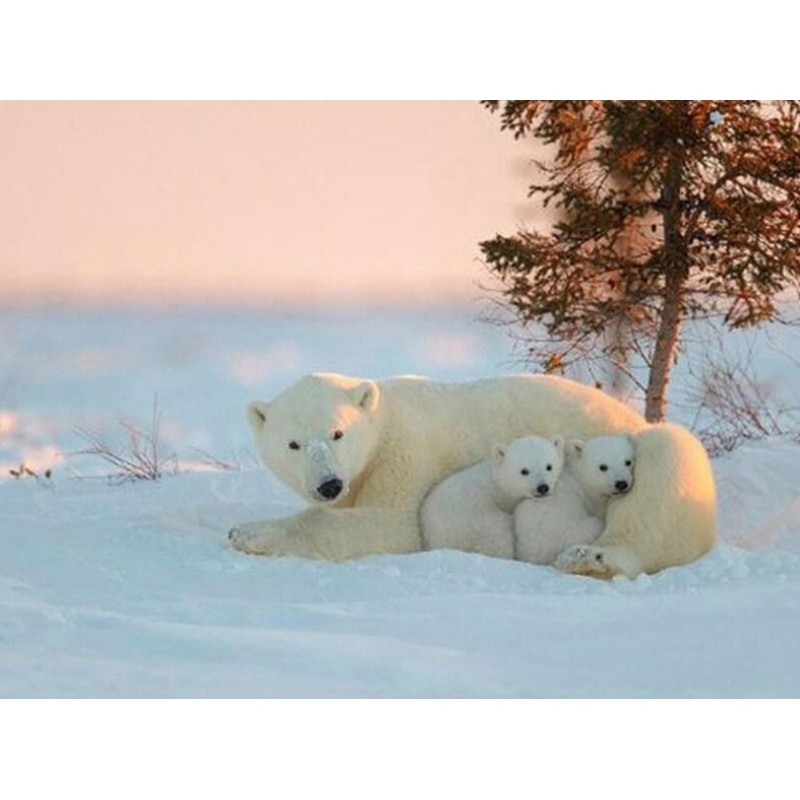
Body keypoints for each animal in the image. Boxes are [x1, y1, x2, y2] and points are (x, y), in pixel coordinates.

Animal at [514, 434, 635, 566]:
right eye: (603, 466)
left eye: (628, 462)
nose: (621, 484)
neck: (581, 477)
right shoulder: (591, 499)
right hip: (570, 534)